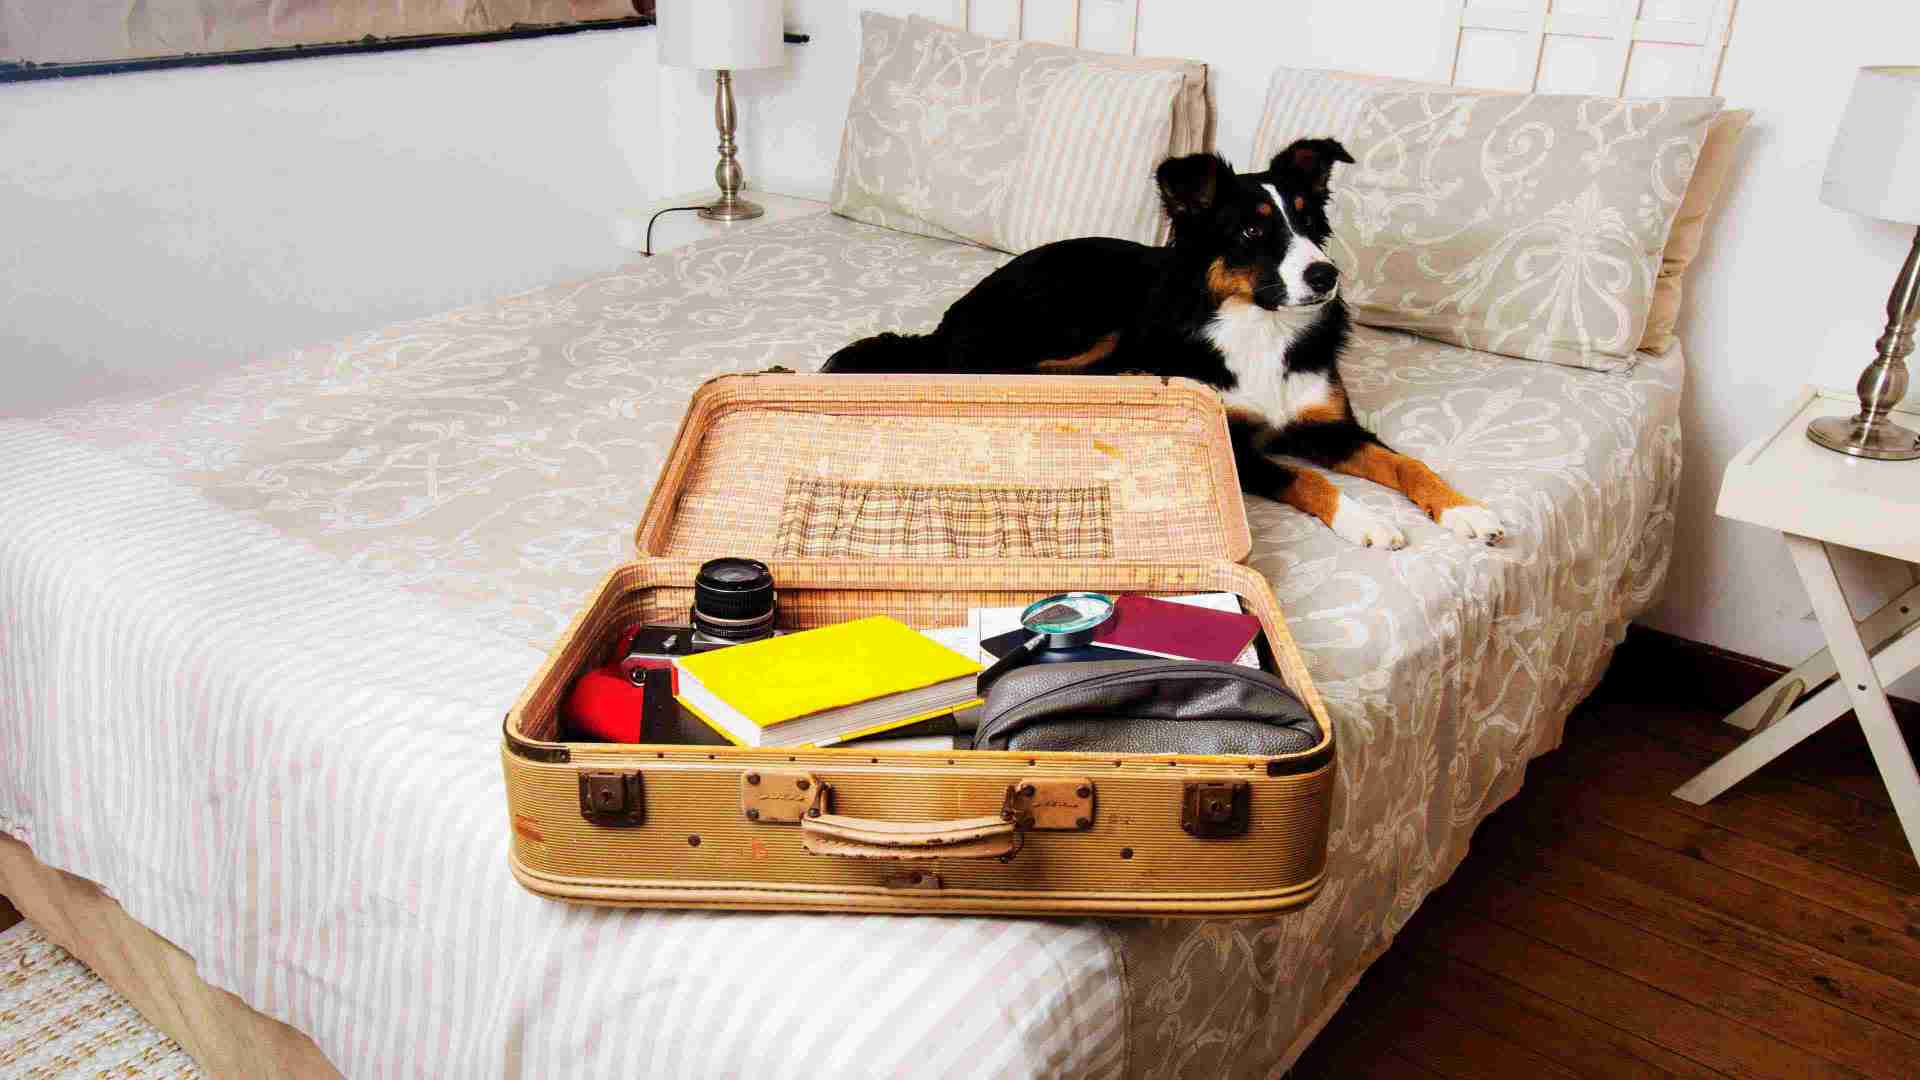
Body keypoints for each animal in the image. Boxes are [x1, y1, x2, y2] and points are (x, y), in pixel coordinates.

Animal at [817, 136, 1505, 545]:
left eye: (1310, 222)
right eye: (1252, 232)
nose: (1325, 275)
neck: (1259, 329)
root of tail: (947, 322)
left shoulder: (1327, 424)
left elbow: (1406, 462)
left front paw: (1464, 509)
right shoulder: (1234, 445)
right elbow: (1308, 481)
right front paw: (1365, 520)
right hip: (1086, 325)